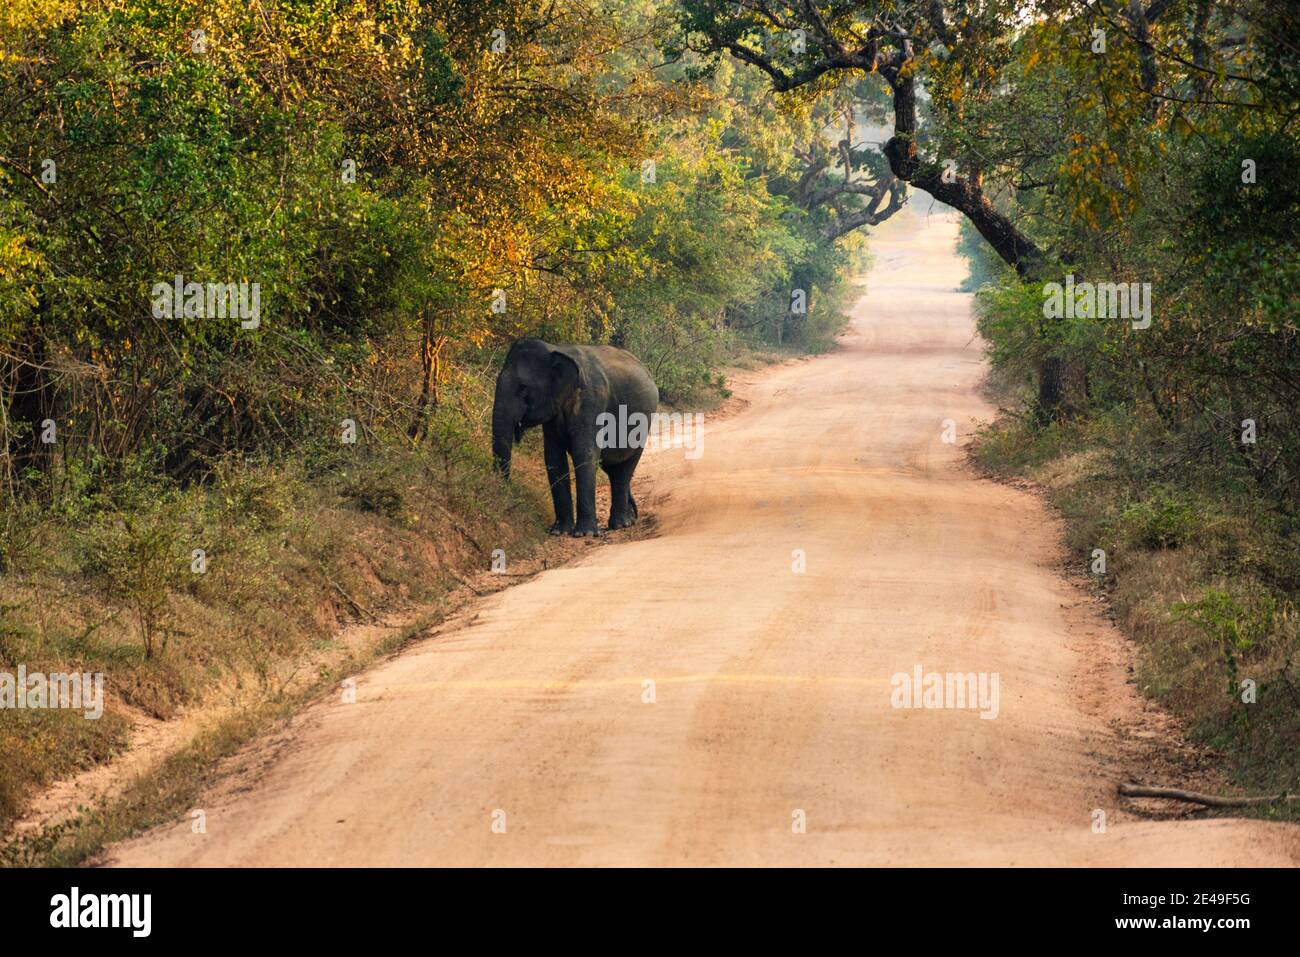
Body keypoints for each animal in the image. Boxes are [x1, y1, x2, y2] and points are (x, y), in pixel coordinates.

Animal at [493, 335, 665, 535]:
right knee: (611, 468)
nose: (505, 490)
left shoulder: (591, 402)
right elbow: (553, 457)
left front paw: (585, 533)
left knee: (625, 467)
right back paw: (629, 518)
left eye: (523, 388)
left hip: (644, 423)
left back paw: (621, 524)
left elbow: (584, 453)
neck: (555, 349)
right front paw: (560, 532)